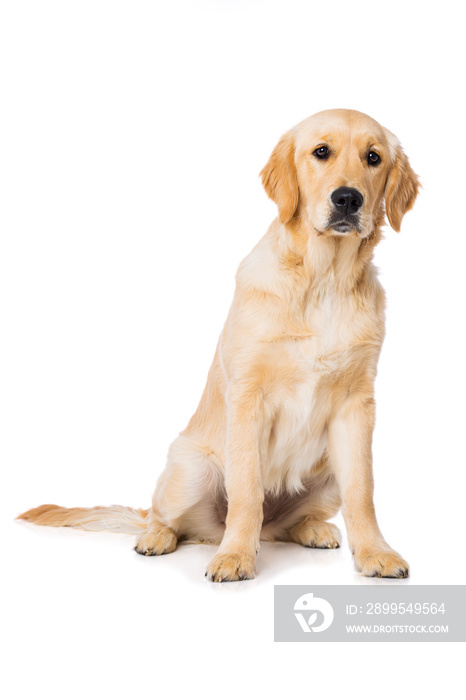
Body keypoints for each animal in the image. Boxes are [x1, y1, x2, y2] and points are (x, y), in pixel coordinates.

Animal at [17, 108, 418, 580]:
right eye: (322, 152)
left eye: (373, 157)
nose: (348, 199)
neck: (323, 279)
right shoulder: (248, 396)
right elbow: (245, 491)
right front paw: (235, 556)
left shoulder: (356, 405)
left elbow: (363, 491)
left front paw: (375, 552)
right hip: (189, 468)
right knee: (167, 517)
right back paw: (158, 537)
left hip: (326, 473)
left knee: (287, 523)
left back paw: (312, 529)